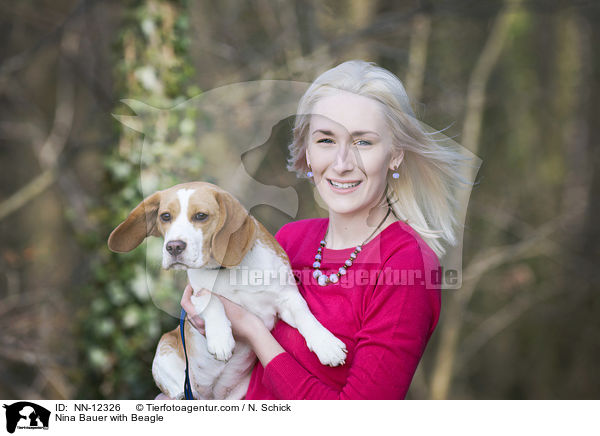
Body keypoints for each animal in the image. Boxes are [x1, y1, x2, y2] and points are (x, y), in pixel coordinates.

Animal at [109, 181, 346, 398]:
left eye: (201, 216)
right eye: (165, 216)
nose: (174, 247)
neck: (227, 270)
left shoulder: (285, 299)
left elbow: (304, 313)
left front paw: (326, 344)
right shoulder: (194, 295)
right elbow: (212, 300)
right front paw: (221, 338)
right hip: (166, 349)